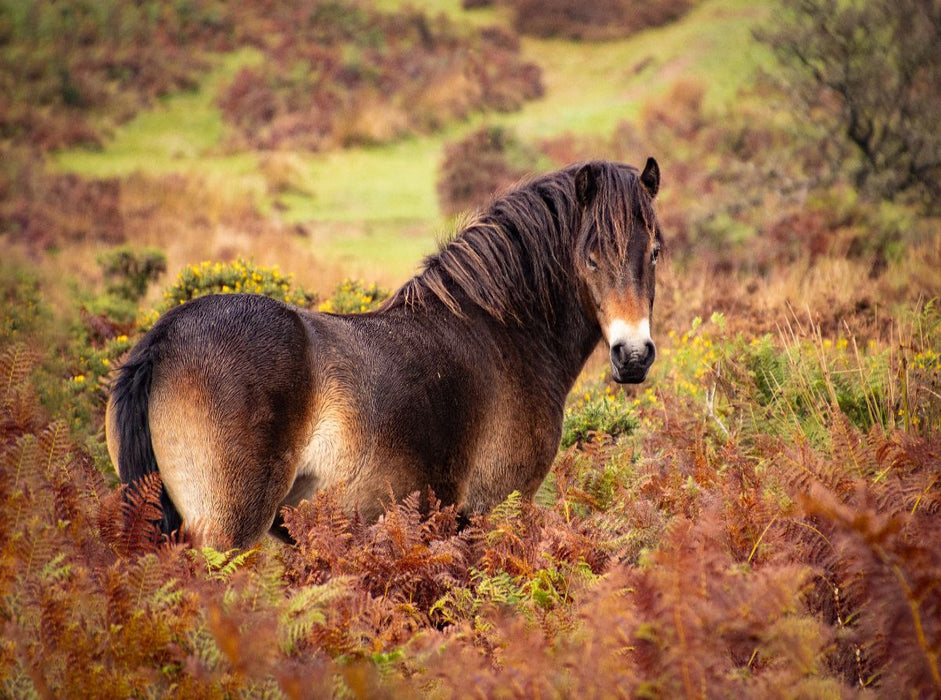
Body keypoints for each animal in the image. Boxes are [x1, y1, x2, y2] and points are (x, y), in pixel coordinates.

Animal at [106, 158, 663, 548]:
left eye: (655, 251)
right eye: (591, 256)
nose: (633, 355)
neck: (502, 334)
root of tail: (163, 340)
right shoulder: (491, 510)